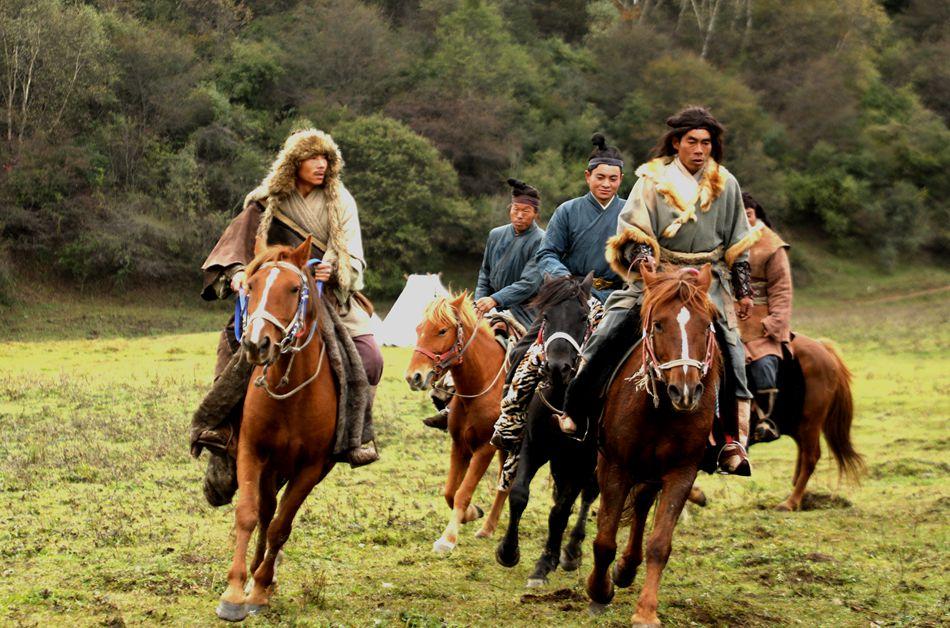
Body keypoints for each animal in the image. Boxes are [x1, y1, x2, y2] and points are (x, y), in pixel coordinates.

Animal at [215, 236, 338, 621]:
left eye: (294, 288)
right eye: (251, 286)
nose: (256, 344)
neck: (289, 392)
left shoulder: (311, 467)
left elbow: (282, 527)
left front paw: (260, 588)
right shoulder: (251, 451)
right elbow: (248, 514)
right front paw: (235, 591)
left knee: (275, 519)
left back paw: (263, 580)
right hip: (270, 466)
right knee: (265, 511)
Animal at [405, 291, 510, 553]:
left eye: (442, 331)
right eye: (419, 328)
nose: (414, 377)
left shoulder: (485, 449)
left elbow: (463, 492)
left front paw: (448, 538)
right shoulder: (459, 444)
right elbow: (450, 491)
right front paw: (470, 514)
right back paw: (487, 528)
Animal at [494, 274, 600, 588]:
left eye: (583, 318)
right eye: (546, 317)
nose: (557, 366)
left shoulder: (583, 460)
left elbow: (561, 510)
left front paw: (543, 565)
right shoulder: (535, 445)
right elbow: (519, 494)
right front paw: (508, 551)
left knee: (587, 495)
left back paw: (571, 550)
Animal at [587, 265, 721, 625]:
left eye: (707, 325)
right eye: (659, 323)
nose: (685, 391)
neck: (660, 410)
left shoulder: (681, 473)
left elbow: (660, 543)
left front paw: (646, 611)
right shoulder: (614, 466)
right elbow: (604, 539)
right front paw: (598, 590)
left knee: (643, 504)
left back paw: (627, 568)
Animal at [749, 334, 864, 511]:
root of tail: (822, 347)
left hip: (810, 420)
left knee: (811, 457)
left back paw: (790, 503)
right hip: (798, 423)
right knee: (803, 451)